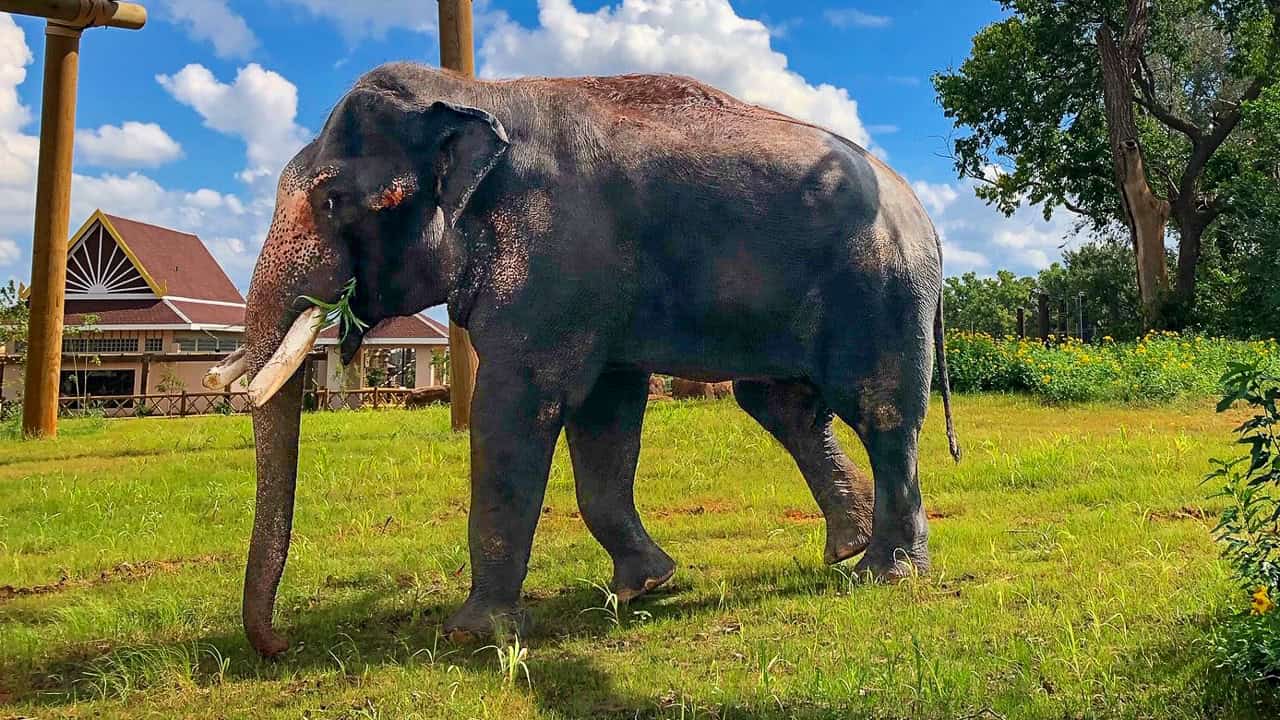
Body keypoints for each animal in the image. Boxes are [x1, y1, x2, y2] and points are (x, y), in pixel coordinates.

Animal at [205, 62, 961, 658]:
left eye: (332, 199)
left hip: (880, 292)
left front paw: (474, 634)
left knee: (882, 412)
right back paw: (845, 549)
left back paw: (886, 573)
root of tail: (925, 217)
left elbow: (518, 404)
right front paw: (643, 586)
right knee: (784, 406)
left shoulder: (554, 262)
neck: (477, 94)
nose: (279, 644)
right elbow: (604, 415)